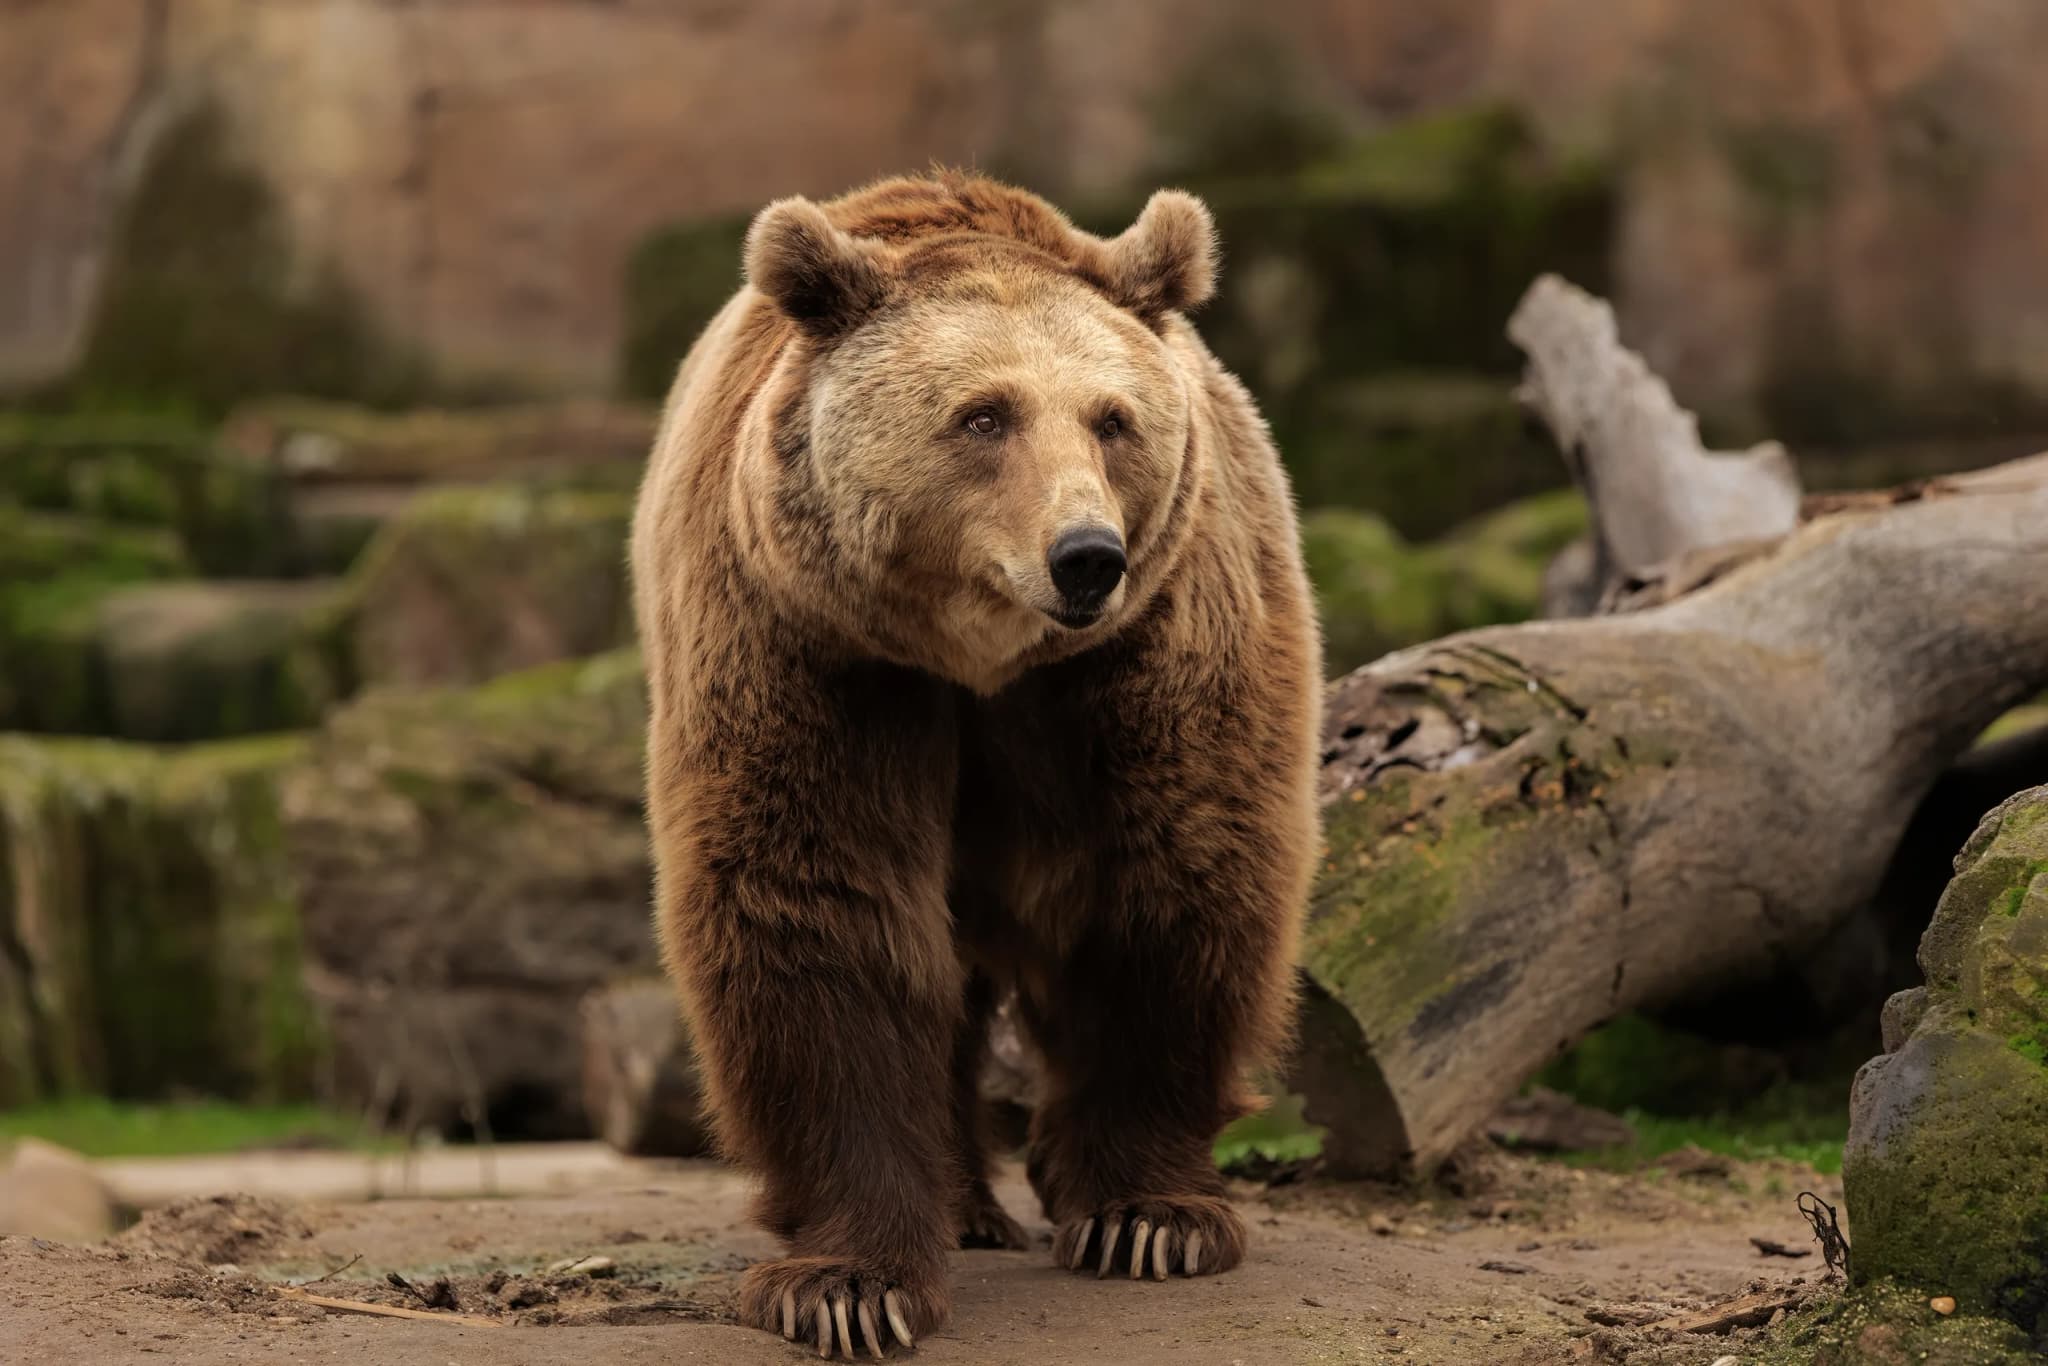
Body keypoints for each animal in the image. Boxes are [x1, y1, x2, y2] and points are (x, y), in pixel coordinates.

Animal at [629, 171, 1322, 1357]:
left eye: (1112, 418)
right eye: (983, 416)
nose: (1086, 556)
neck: (979, 660)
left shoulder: (1154, 644)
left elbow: (1171, 879)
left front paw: (1148, 1217)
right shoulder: (812, 647)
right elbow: (822, 906)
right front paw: (849, 1285)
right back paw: (962, 1202)